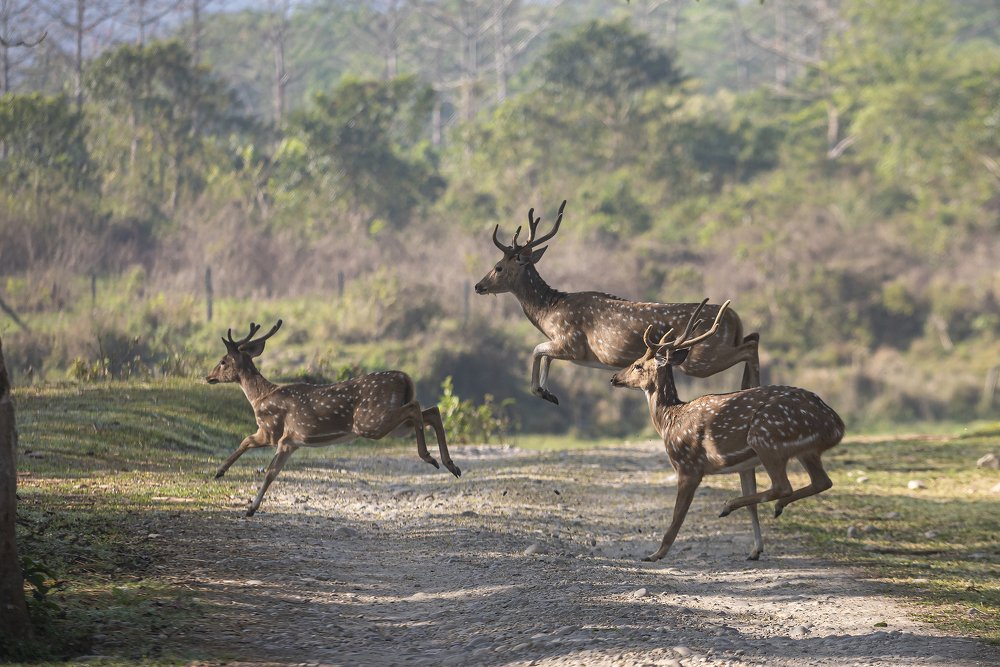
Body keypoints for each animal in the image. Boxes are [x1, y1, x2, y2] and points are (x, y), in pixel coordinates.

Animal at [205, 320, 461, 516]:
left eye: (223, 361)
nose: (208, 377)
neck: (259, 398)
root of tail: (405, 378)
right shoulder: (291, 442)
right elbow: (269, 467)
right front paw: (245, 501)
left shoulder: (272, 431)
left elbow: (254, 452)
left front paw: (224, 477)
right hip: (394, 425)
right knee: (431, 411)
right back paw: (450, 464)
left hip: (370, 421)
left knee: (416, 408)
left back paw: (429, 457)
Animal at [474, 200, 761, 406]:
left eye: (498, 267)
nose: (478, 286)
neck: (549, 311)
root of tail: (734, 317)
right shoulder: (564, 345)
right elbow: (544, 355)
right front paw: (548, 392)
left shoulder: (573, 343)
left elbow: (537, 350)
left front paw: (541, 391)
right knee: (753, 338)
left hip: (700, 358)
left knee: (749, 347)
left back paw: (751, 387)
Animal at [610, 299, 845, 562]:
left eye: (638, 365)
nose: (614, 377)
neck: (669, 420)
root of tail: (836, 426)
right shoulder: (744, 465)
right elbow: (752, 504)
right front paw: (755, 549)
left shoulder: (689, 466)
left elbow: (677, 516)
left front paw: (655, 554)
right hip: (803, 450)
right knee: (822, 481)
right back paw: (776, 507)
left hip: (766, 438)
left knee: (783, 485)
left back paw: (730, 506)